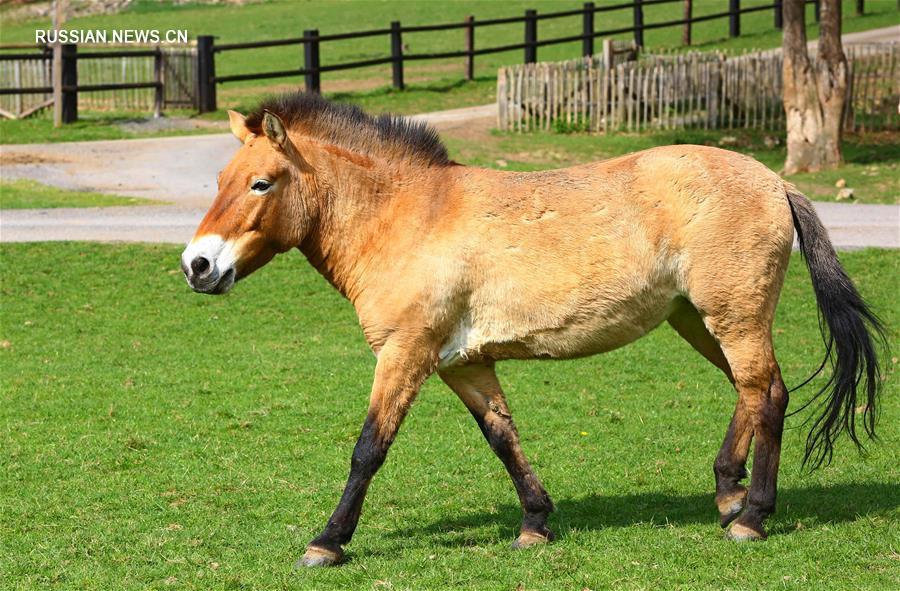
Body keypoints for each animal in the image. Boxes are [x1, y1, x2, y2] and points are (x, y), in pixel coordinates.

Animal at [179, 93, 884, 568]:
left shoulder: (405, 354)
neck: (408, 216)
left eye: (260, 183)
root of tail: (776, 182)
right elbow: (502, 436)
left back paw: (753, 517)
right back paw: (728, 494)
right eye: (219, 180)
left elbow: (369, 448)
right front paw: (536, 523)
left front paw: (327, 542)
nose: (198, 265)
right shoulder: (462, 363)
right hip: (699, 320)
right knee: (753, 391)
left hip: (733, 318)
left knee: (769, 394)